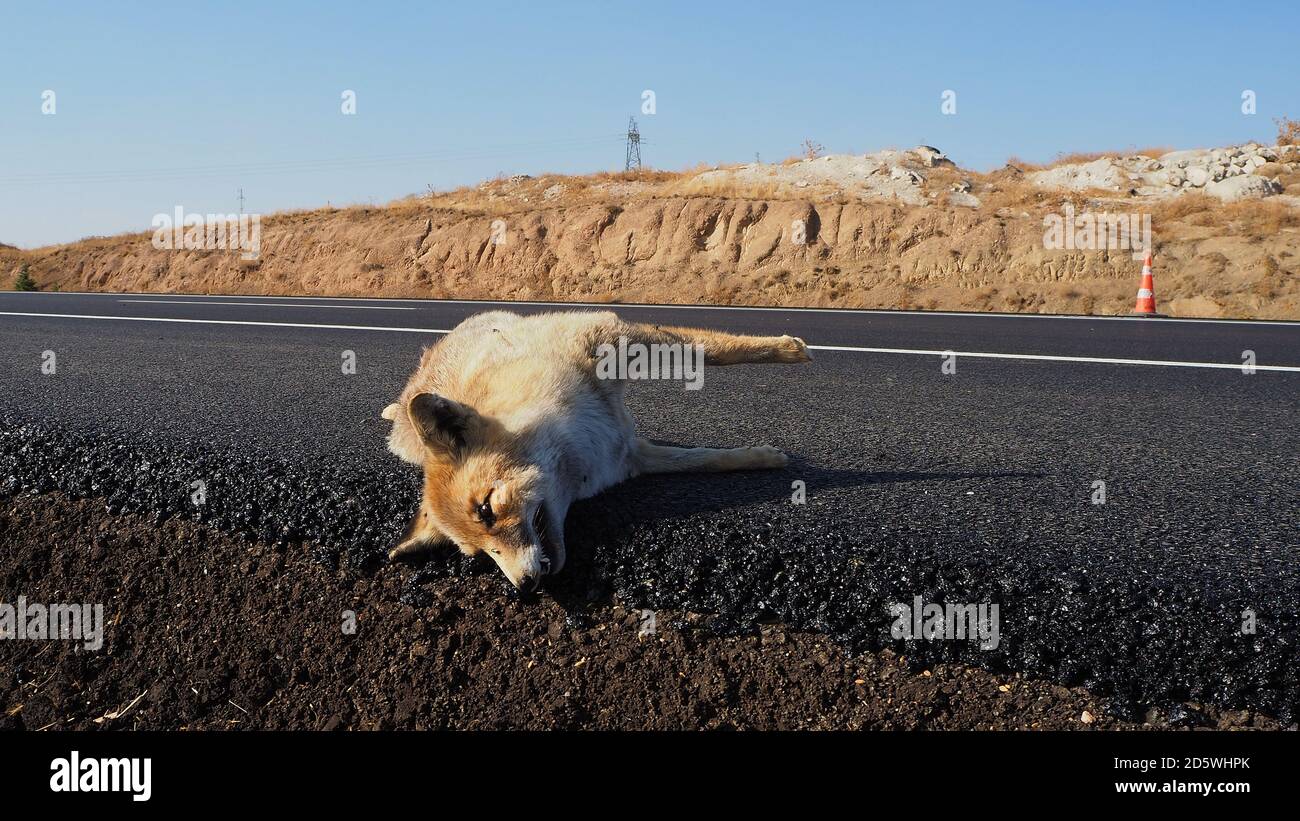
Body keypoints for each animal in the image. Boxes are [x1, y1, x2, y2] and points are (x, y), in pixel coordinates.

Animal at [381, 310, 812, 593]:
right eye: (480, 555)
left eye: (486, 510)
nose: (525, 587)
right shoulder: (631, 456)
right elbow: (708, 461)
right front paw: (763, 458)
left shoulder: (614, 335)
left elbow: (714, 349)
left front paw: (786, 351)